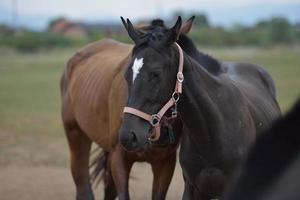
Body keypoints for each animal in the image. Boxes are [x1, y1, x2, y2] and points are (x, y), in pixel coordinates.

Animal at [60, 18, 197, 199]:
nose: (129, 135)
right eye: (126, 74)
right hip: (75, 135)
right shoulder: (119, 157)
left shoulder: (165, 163)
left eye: (156, 74)